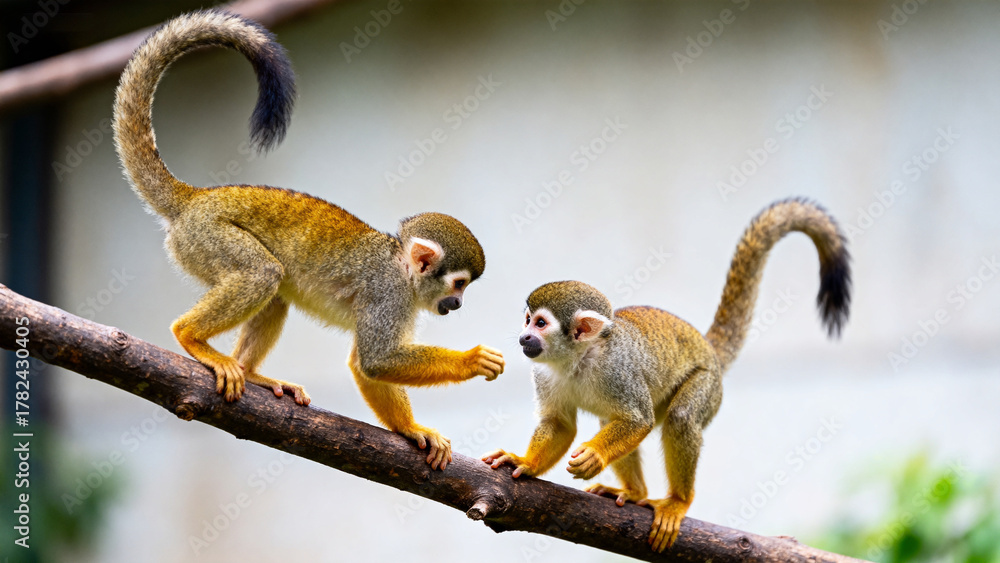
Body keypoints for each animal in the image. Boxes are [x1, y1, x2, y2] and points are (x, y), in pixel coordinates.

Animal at [112, 10, 504, 470]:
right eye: (458, 285)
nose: (457, 304)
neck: (401, 269)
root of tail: (195, 198)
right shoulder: (387, 292)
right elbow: (376, 360)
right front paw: (470, 361)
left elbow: (364, 362)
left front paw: (409, 429)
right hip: (207, 237)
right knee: (263, 273)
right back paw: (191, 336)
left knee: (275, 290)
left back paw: (252, 373)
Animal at [483, 198, 851, 551]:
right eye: (526, 320)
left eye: (540, 323)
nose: (523, 337)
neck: (578, 358)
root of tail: (708, 348)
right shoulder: (544, 374)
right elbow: (561, 424)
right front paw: (526, 462)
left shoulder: (617, 369)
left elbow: (639, 421)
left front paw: (595, 456)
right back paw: (636, 492)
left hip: (706, 382)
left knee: (680, 416)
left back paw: (678, 500)